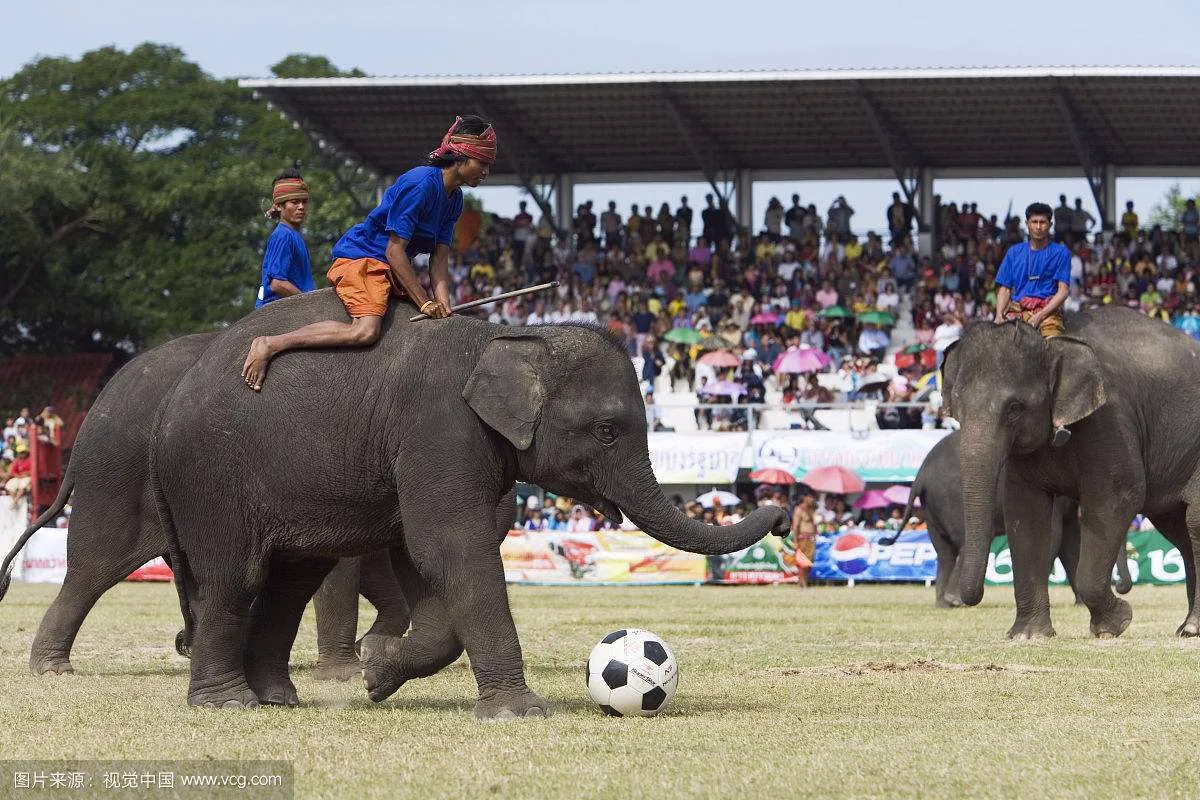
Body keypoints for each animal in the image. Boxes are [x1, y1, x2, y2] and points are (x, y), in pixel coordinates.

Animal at [150, 291, 792, 714]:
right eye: (608, 430)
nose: (783, 515)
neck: (502, 339)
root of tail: (168, 405)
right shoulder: (439, 427)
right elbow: (450, 547)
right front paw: (520, 712)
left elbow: (425, 557)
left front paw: (377, 671)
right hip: (211, 478)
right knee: (236, 575)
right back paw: (226, 704)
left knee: (291, 579)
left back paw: (278, 698)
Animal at [892, 431, 1132, 606]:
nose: (1119, 585)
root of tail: (921, 474)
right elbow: (1053, 537)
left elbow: (1071, 542)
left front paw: (1082, 604)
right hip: (952, 498)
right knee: (964, 545)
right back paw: (954, 600)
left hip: (932, 509)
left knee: (944, 553)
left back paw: (944, 603)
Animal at [940, 309, 1200, 642]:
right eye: (956, 407)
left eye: (1014, 407)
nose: (959, 600)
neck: (1053, 343)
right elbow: (1025, 512)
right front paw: (1029, 635)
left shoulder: (1111, 418)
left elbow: (1117, 498)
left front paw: (1116, 623)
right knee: (1177, 529)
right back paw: (1188, 628)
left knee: (1193, 523)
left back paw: (1192, 627)